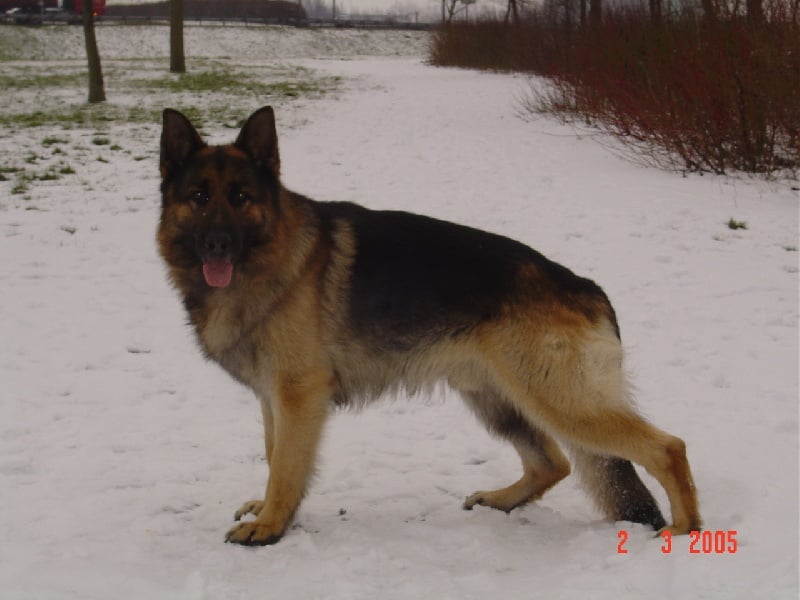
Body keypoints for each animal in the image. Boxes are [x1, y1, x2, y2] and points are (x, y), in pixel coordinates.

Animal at [156, 105, 700, 548]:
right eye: (199, 196)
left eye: (241, 197)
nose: (217, 244)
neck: (271, 256)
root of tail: (587, 286)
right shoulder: (274, 398)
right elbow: (273, 456)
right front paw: (269, 511)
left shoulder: (297, 397)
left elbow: (287, 466)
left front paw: (271, 526)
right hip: (498, 401)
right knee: (554, 462)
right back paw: (503, 500)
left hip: (561, 401)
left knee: (668, 447)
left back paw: (684, 530)